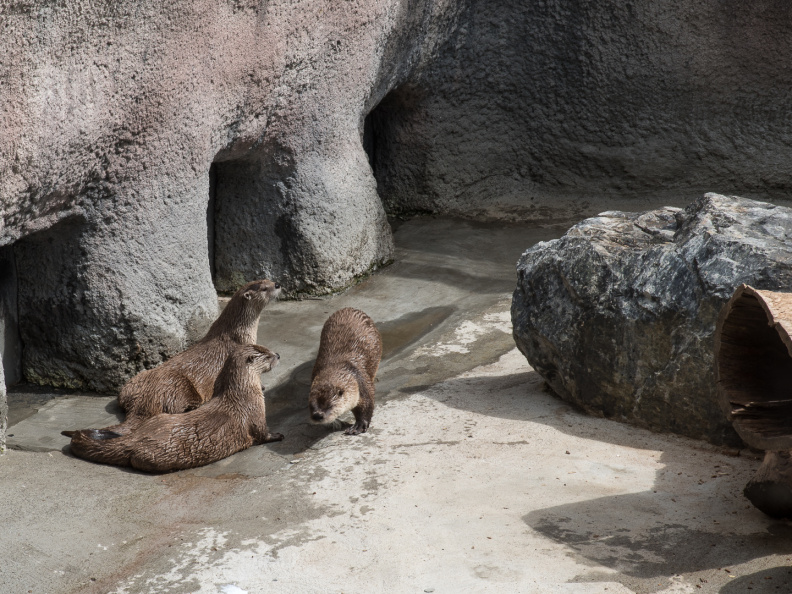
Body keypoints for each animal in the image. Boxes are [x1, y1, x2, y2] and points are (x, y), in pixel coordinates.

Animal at [62, 344, 284, 472]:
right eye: (267, 355)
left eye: (267, 349)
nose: (279, 354)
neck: (243, 392)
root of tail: (136, 439)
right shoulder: (255, 414)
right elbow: (262, 434)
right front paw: (278, 435)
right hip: (156, 456)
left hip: (160, 417)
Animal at [108, 279, 280, 435]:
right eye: (264, 288)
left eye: (268, 280)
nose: (277, 285)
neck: (238, 333)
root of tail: (143, 400)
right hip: (178, 386)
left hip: (131, 385)